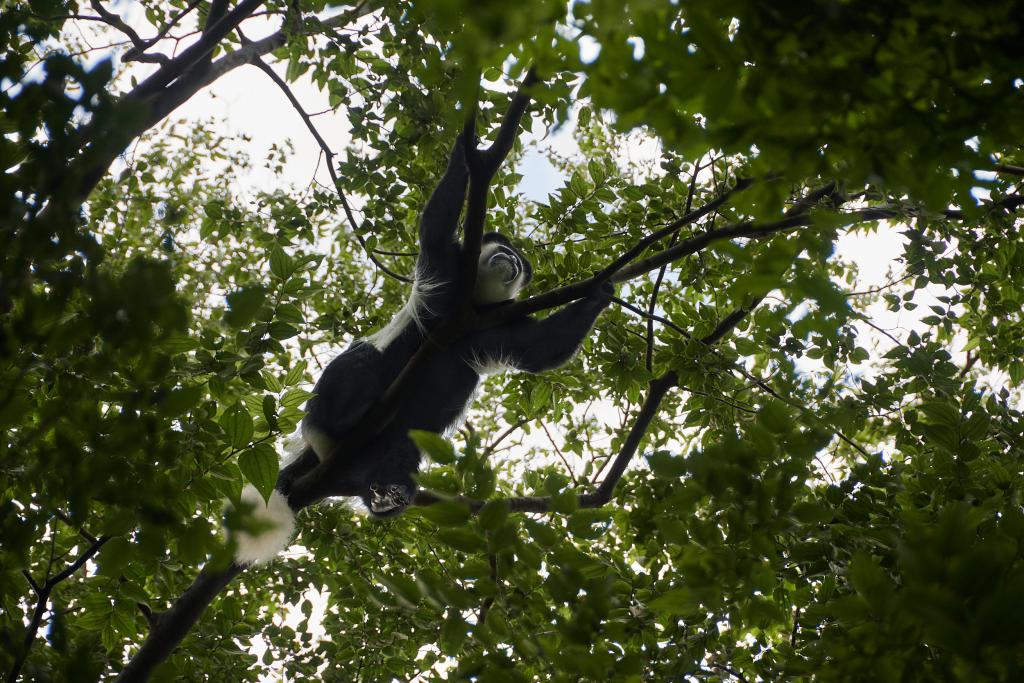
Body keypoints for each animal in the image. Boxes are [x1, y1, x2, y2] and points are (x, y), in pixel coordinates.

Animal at [235, 136, 610, 565]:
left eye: (517, 262)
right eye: (506, 252)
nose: (512, 261)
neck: (472, 305)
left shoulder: (503, 323)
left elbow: (539, 350)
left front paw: (602, 292)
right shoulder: (446, 265)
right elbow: (435, 226)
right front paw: (466, 147)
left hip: (386, 451)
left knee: (407, 447)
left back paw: (388, 495)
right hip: (335, 402)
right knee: (360, 364)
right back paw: (349, 416)